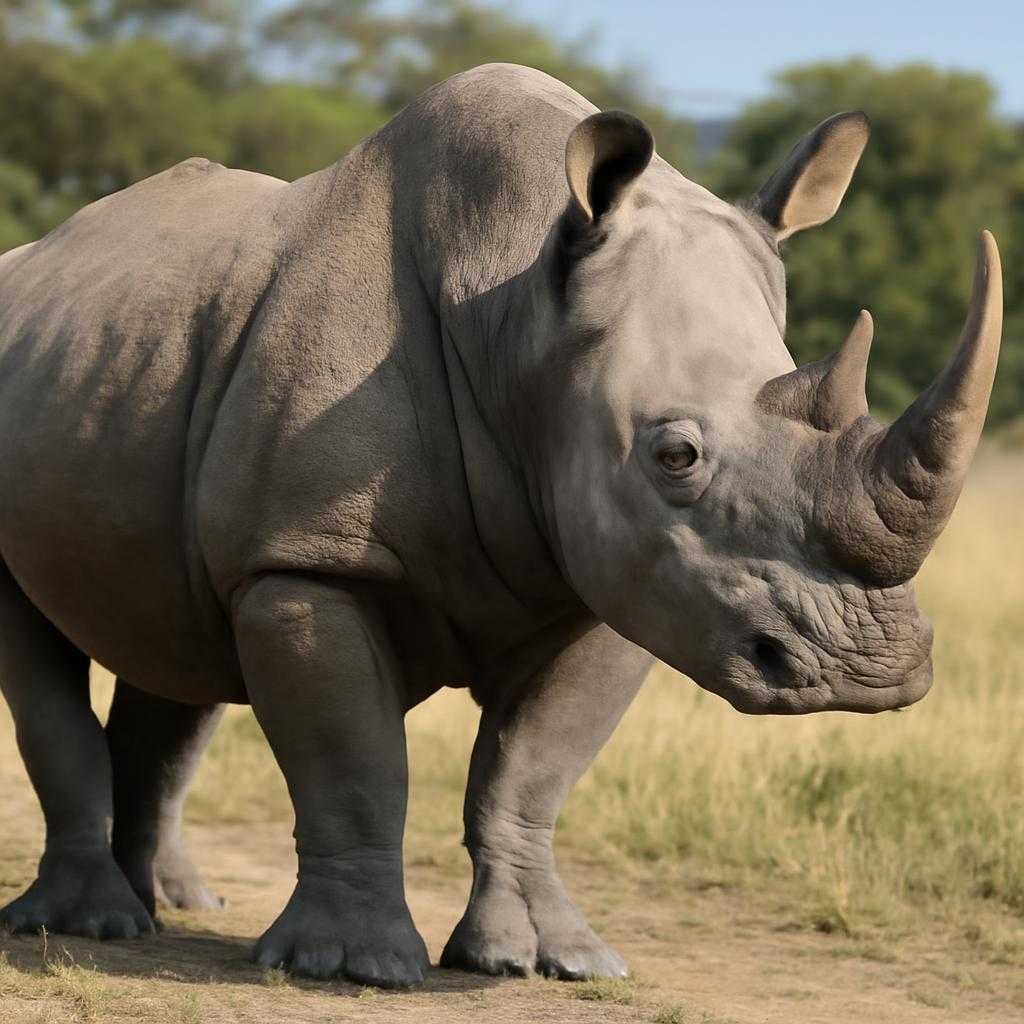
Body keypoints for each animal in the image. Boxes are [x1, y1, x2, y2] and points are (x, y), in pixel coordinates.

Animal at [0, 63, 1002, 987]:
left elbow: (530, 769)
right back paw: (93, 927)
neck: (518, 311)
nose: (868, 672)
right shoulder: (308, 559)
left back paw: (164, 907)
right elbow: (355, 764)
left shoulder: (617, 577)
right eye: (675, 455)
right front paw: (352, 967)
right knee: (51, 658)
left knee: (175, 649)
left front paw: (547, 962)